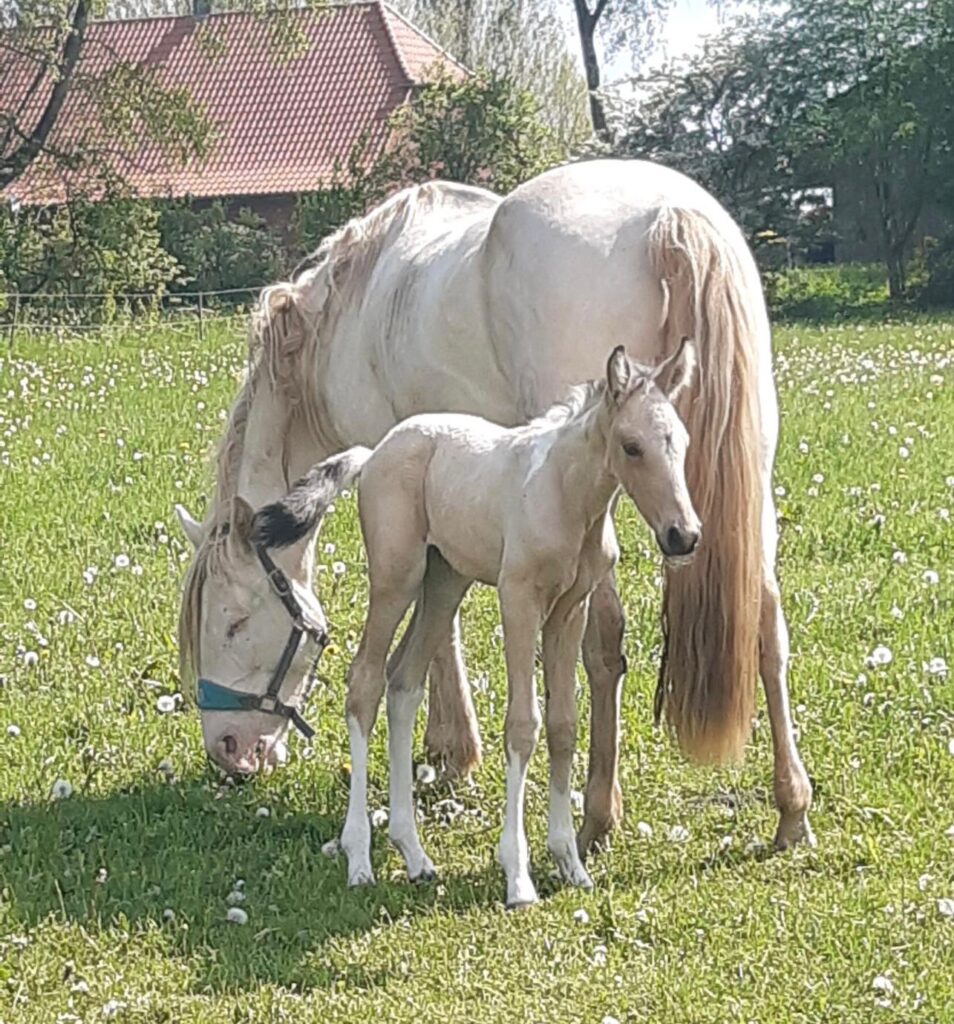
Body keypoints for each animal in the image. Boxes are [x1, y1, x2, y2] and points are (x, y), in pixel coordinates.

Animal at [177, 157, 810, 847]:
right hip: (746, 487)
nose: (229, 751)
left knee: (603, 643)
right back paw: (791, 808)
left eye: (233, 621)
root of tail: (670, 214)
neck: (346, 315)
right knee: (767, 626)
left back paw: (596, 813)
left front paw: (451, 750)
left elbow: (443, 631)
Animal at [253, 342, 700, 905]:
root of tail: (375, 452)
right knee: (365, 683)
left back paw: (414, 854)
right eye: (632, 446)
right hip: (398, 579)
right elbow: (523, 726)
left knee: (404, 683)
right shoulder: (519, 600)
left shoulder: (569, 611)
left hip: (445, 582)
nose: (683, 535)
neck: (564, 494)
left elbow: (563, 726)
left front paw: (570, 863)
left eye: (680, 442)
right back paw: (359, 858)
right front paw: (518, 876)